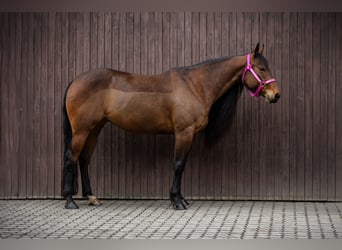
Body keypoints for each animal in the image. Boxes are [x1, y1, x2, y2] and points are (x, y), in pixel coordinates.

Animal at [62, 42, 280, 209]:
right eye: (262, 68)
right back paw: (70, 201)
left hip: (95, 128)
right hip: (81, 130)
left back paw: (92, 197)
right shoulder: (184, 132)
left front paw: (181, 198)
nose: (276, 95)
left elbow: (182, 166)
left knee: (84, 159)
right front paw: (177, 201)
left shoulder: (188, 134)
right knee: (71, 158)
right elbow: (178, 164)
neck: (194, 85)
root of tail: (76, 81)